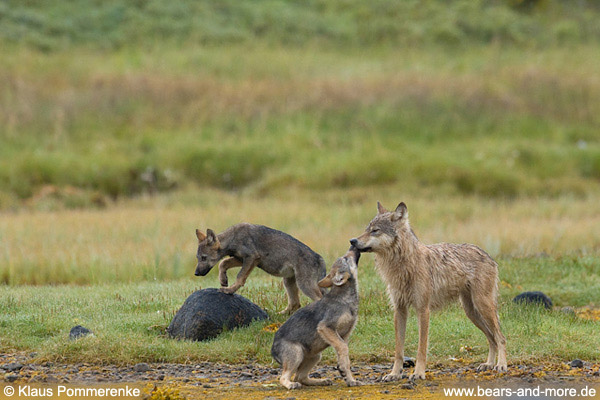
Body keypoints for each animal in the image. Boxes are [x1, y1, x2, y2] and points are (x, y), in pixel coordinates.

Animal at [352, 203, 506, 382]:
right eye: (366, 229)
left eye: (375, 230)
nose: (352, 241)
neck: (404, 266)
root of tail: (489, 256)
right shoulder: (399, 310)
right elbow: (398, 350)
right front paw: (394, 374)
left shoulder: (423, 310)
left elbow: (421, 348)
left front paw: (418, 373)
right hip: (472, 312)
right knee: (492, 338)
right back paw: (488, 364)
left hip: (483, 307)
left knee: (500, 337)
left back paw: (501, 365)